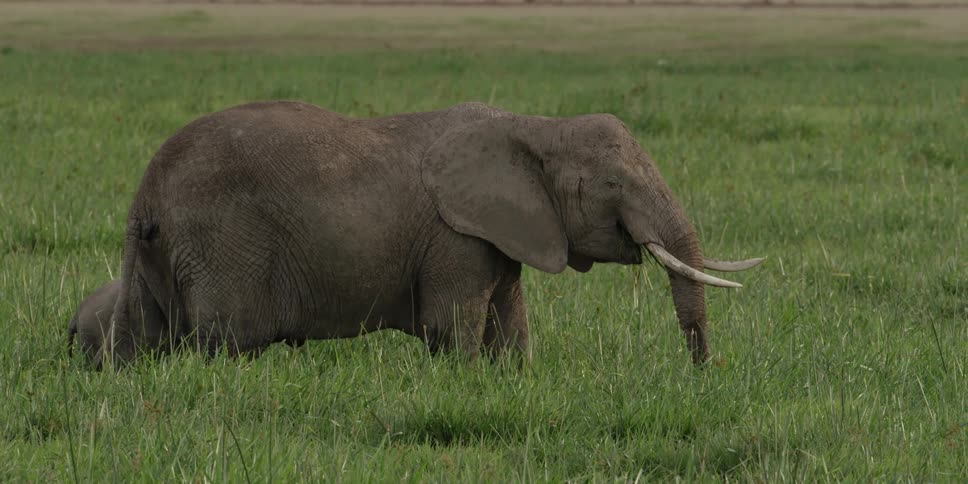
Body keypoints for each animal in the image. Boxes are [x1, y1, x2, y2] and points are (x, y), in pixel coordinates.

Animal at [93, 101, 762, 369]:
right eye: (615, 184)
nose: (703, 371)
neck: (536, 126)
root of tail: (143, 194)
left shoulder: (502, 231)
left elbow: (510, 322)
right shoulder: (454, 236)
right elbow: (453, 324)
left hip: (165, 256)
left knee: (152, 338)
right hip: (221, 244)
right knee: (224, 343)